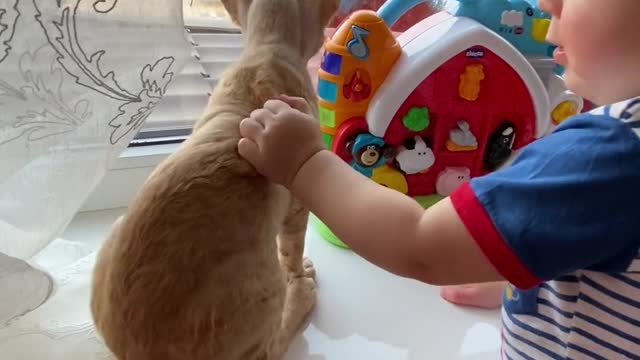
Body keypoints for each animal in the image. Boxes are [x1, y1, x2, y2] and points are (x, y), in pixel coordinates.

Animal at [91, 1, 340, 358]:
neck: (267, 49)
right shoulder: (296, 206)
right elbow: (292, 250)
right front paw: (299, 273)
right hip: (262, 288)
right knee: (271, 345)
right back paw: (301, 296)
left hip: (113, 233)